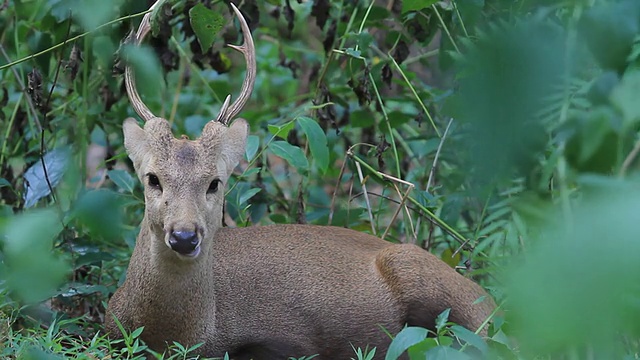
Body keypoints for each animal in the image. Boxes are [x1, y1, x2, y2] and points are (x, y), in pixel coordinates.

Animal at [104, 1, 496, 358]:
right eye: (152, 178)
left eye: (215, 182)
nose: (184, 237)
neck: (178, 334)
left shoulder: (288, 342)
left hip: (432, 280)